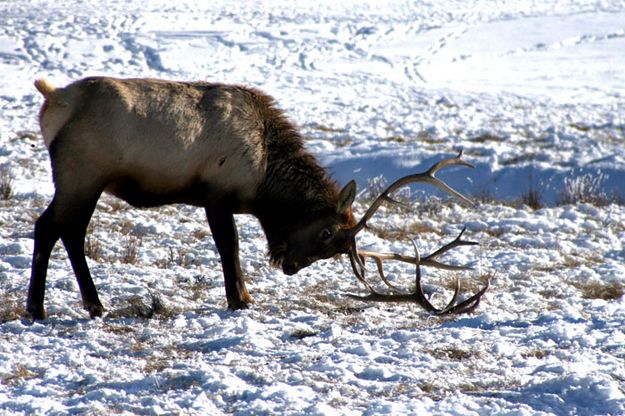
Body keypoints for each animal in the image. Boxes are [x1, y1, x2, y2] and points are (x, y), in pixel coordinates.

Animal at [28, 76, 488, 320]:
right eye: (327, 234)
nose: (290, 266)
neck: (264, 178)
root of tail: (53, 99)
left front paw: (244, 295)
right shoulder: (216, 193)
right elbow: (228, 247)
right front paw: (240, 299)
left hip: (82, 181)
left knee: (66, 231)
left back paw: (88, 304)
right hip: (82, 175)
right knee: (51, 227)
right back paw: (45, 307)